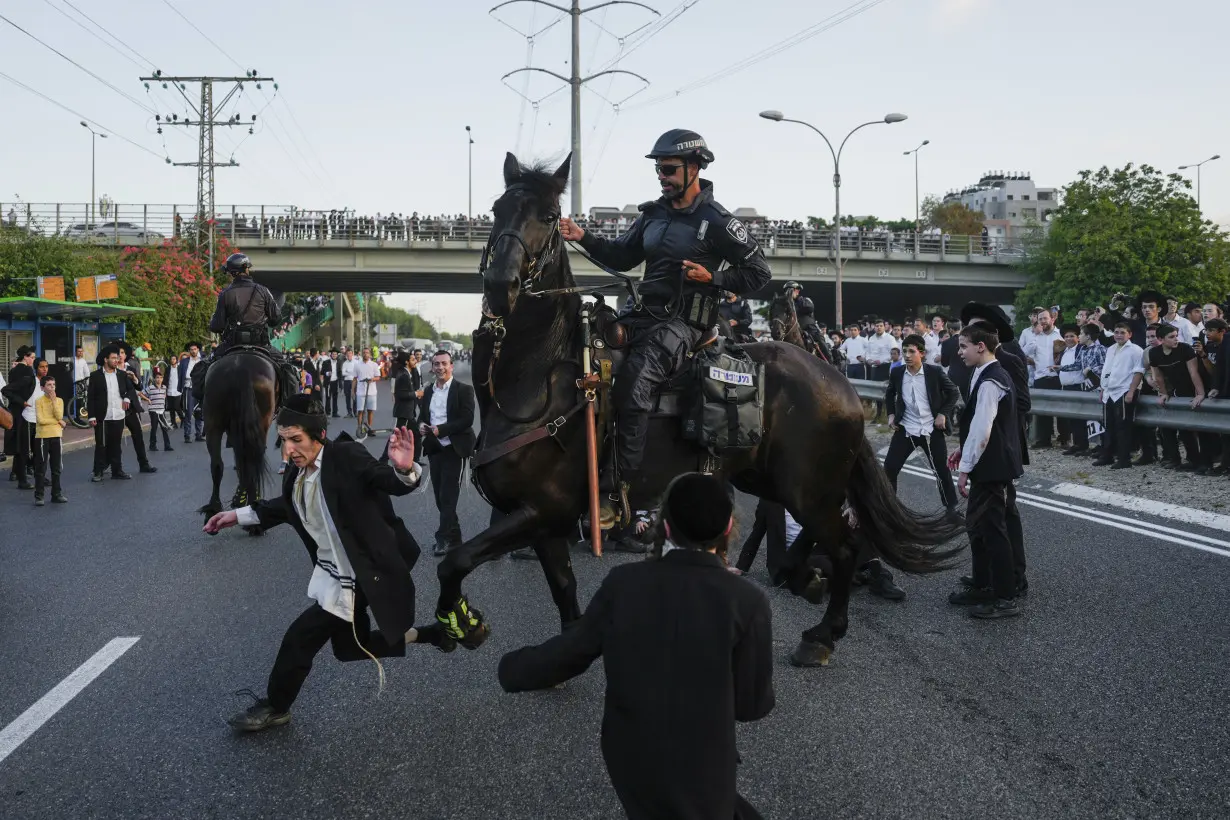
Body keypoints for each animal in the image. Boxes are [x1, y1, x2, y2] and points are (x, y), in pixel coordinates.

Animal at [196, 351, 276, 533]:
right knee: (252, 461)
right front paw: (242, 497)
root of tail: (241, 369)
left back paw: (213, 511)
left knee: (217, 464)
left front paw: (240, 497)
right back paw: (253, 516)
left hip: (213, 421)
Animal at [432, 153, 959, 668]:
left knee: (845, 545)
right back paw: (801, 577)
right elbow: (562, 590)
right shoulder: (541, 520)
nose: (500, 285)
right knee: (826, 535)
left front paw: (460, 623)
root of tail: (839, 381)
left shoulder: (544, 509)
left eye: (546, 215)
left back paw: (821, 632)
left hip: (808, 486)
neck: (539, 375)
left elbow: (454, 562)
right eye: (497, 210)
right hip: (770, 479)